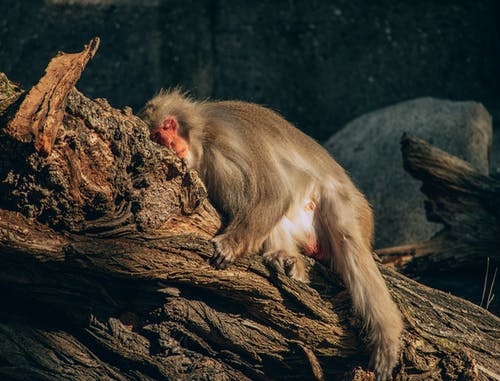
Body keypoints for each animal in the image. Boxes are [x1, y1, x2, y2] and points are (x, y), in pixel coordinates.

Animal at [140, 88, 402, 378]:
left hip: (345, 205)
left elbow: (273, 192)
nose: (168, 142)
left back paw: (387, 335)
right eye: (155, 136)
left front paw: (231, 245)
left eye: (168, 127)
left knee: (349, 243)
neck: (201, 137)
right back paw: (287, 259)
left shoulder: (224, 137)